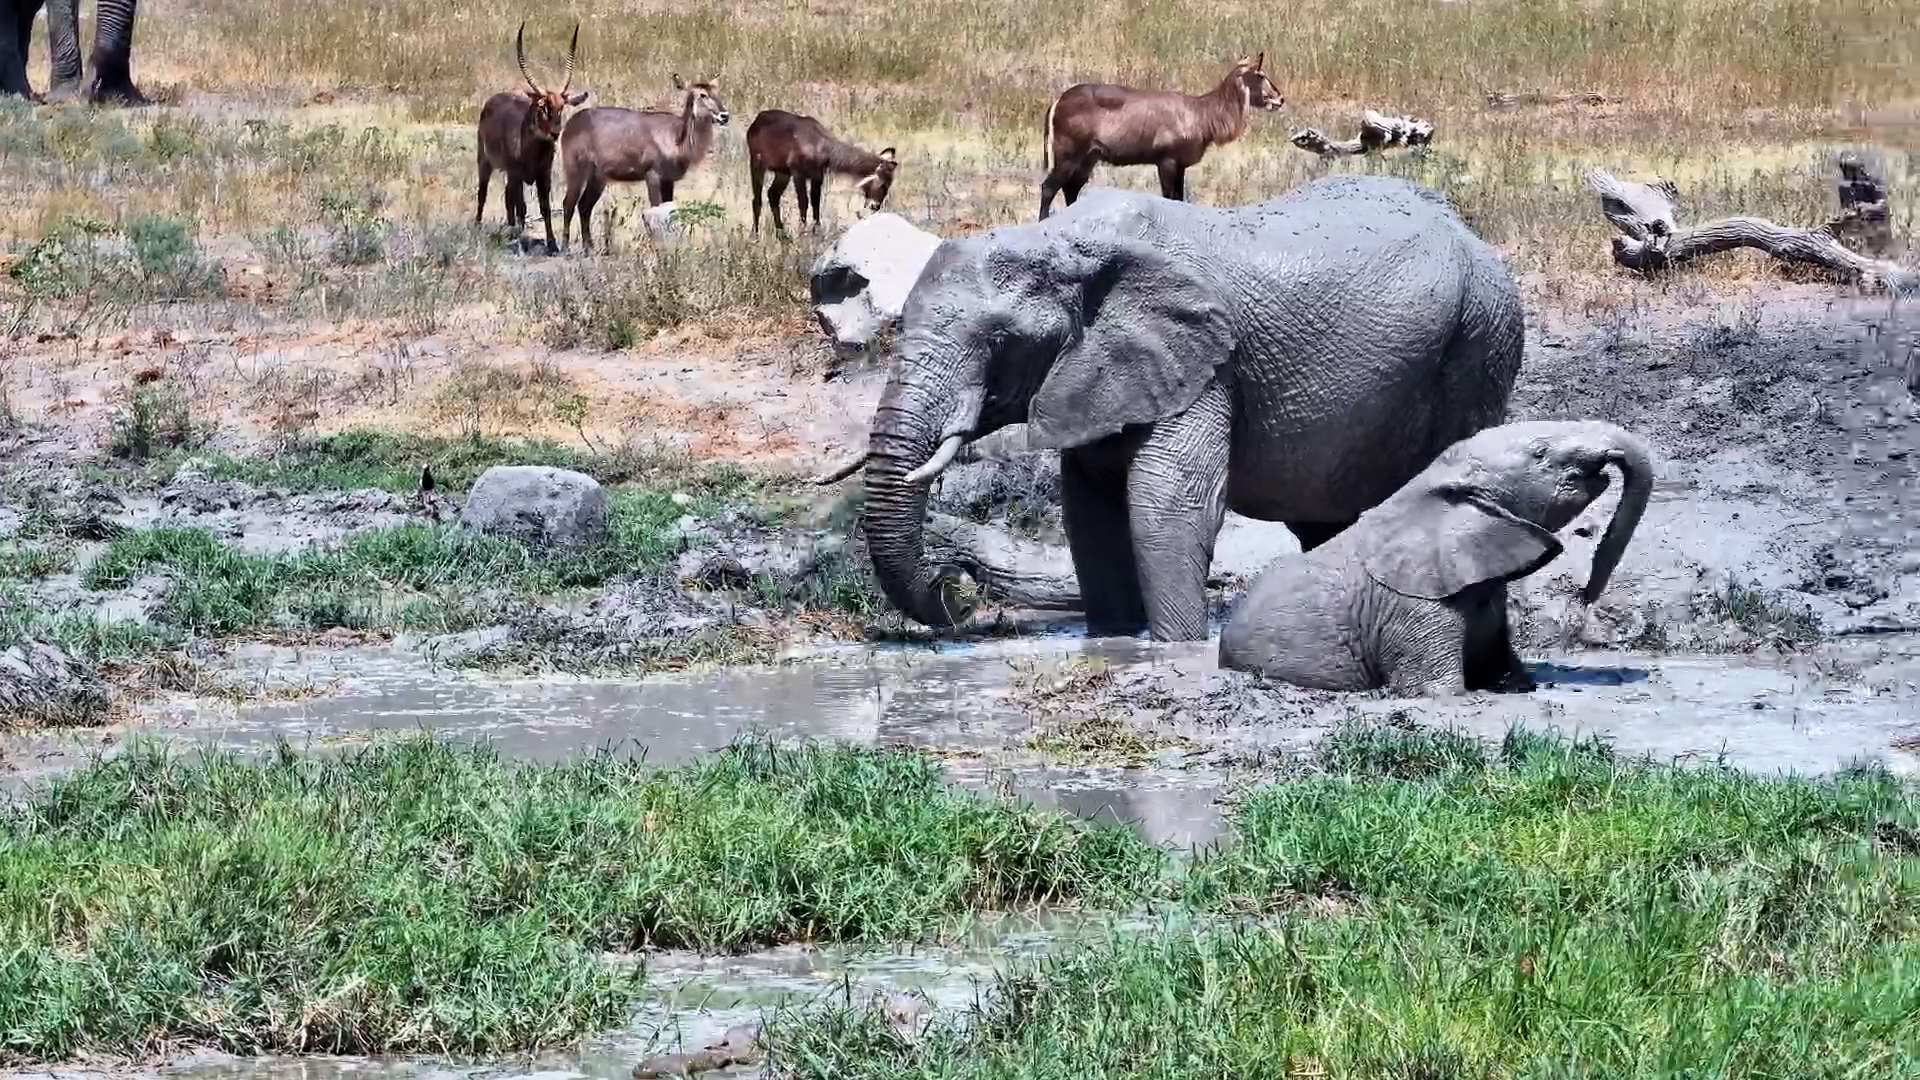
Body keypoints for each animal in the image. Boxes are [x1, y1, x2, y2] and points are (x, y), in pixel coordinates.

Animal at [818, 175, 1526, 642]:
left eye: (999, 342)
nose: (958, 594)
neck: (1063, 242)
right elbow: (1091, 509)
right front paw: (1113, 642)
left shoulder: (1208, 363)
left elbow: (1168, 502)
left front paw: (1175, 653)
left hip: (1480, 339)